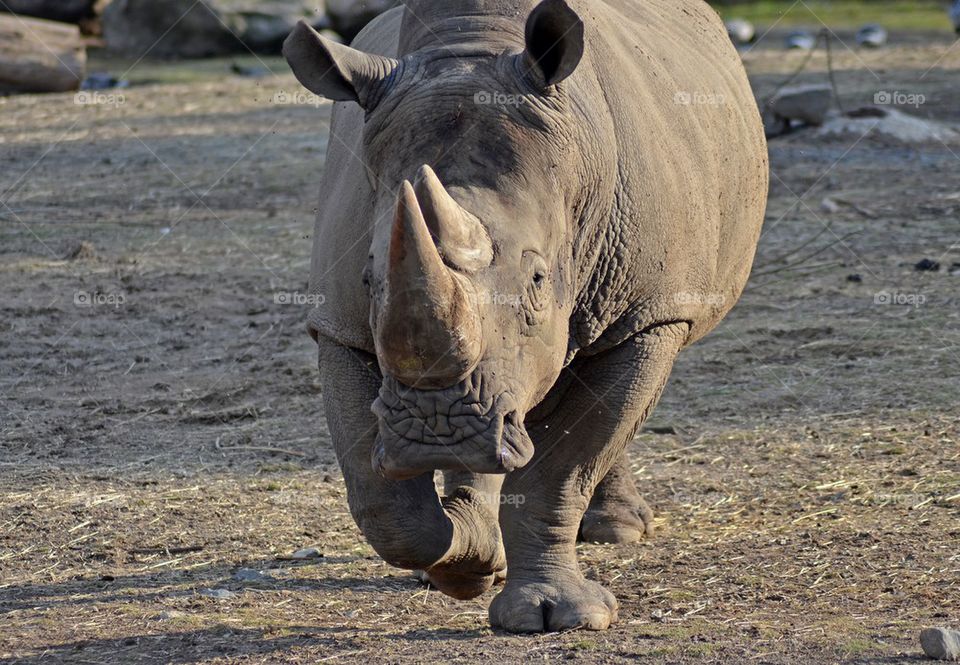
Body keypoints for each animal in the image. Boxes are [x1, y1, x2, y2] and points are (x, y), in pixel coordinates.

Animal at [284, 0, 767, 633]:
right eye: (368, 280)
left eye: (538, 281)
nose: (435, 430)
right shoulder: (340, 325)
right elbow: (385, 504)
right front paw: (469, 566)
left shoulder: (651, 314)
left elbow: (563, 469)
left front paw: (558, 615)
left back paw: (615, 531)